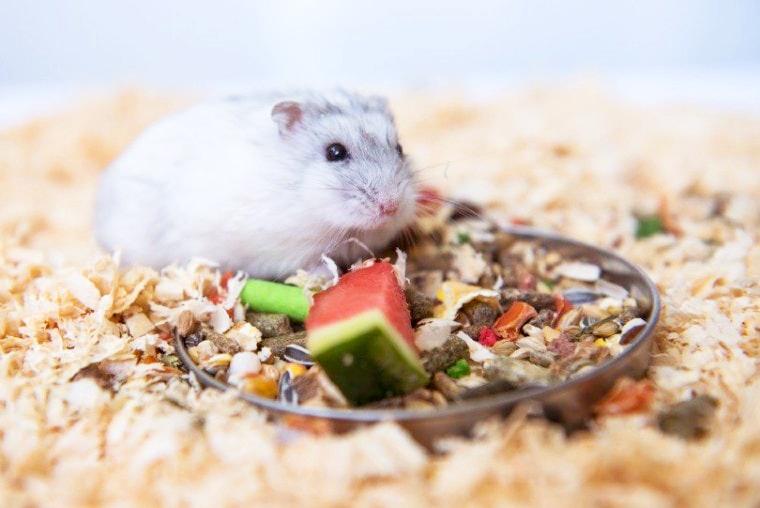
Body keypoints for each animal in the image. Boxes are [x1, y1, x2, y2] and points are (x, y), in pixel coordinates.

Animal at [94, 90, 418, 279]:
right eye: (335, 152)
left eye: (400, 148)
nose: (391, 207)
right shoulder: (280, 250)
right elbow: (310, 263)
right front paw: (326, 276)